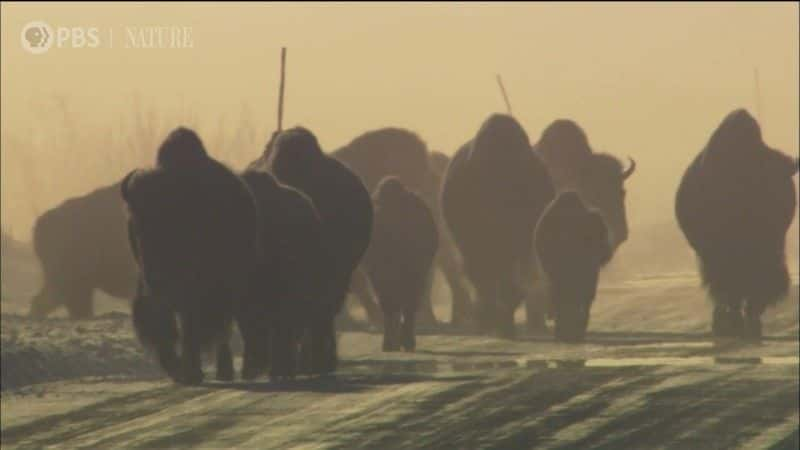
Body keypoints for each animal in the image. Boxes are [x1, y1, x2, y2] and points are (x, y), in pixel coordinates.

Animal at [121, 128, 256, 384]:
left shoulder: (195, 291)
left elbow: (190, 328)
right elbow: (166, 326)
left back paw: (224, 370)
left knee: (222, 328)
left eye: (173, 223)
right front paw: (177, 369)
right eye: (136, 226)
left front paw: (191, 371)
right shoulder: (156, 293)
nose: (154, 274)